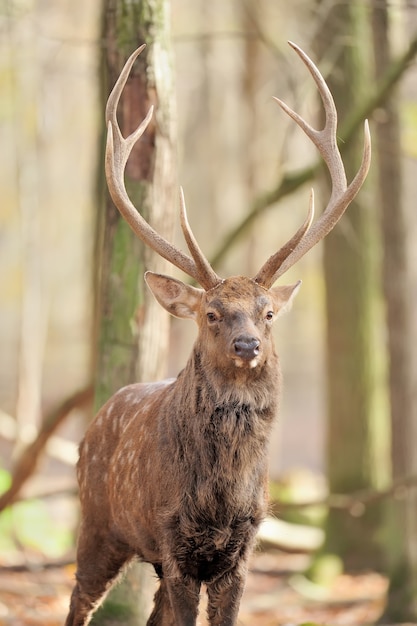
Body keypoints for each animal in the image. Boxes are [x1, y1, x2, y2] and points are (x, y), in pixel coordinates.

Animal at [66, 42, 370, 624]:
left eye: (267, 312)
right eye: (211, 312)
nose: (247, 344)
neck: (221, 497)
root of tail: (94, 419)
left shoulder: (245, 545)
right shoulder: (173, 535)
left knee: (150, 613)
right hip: (98, 522)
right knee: (78, 602)